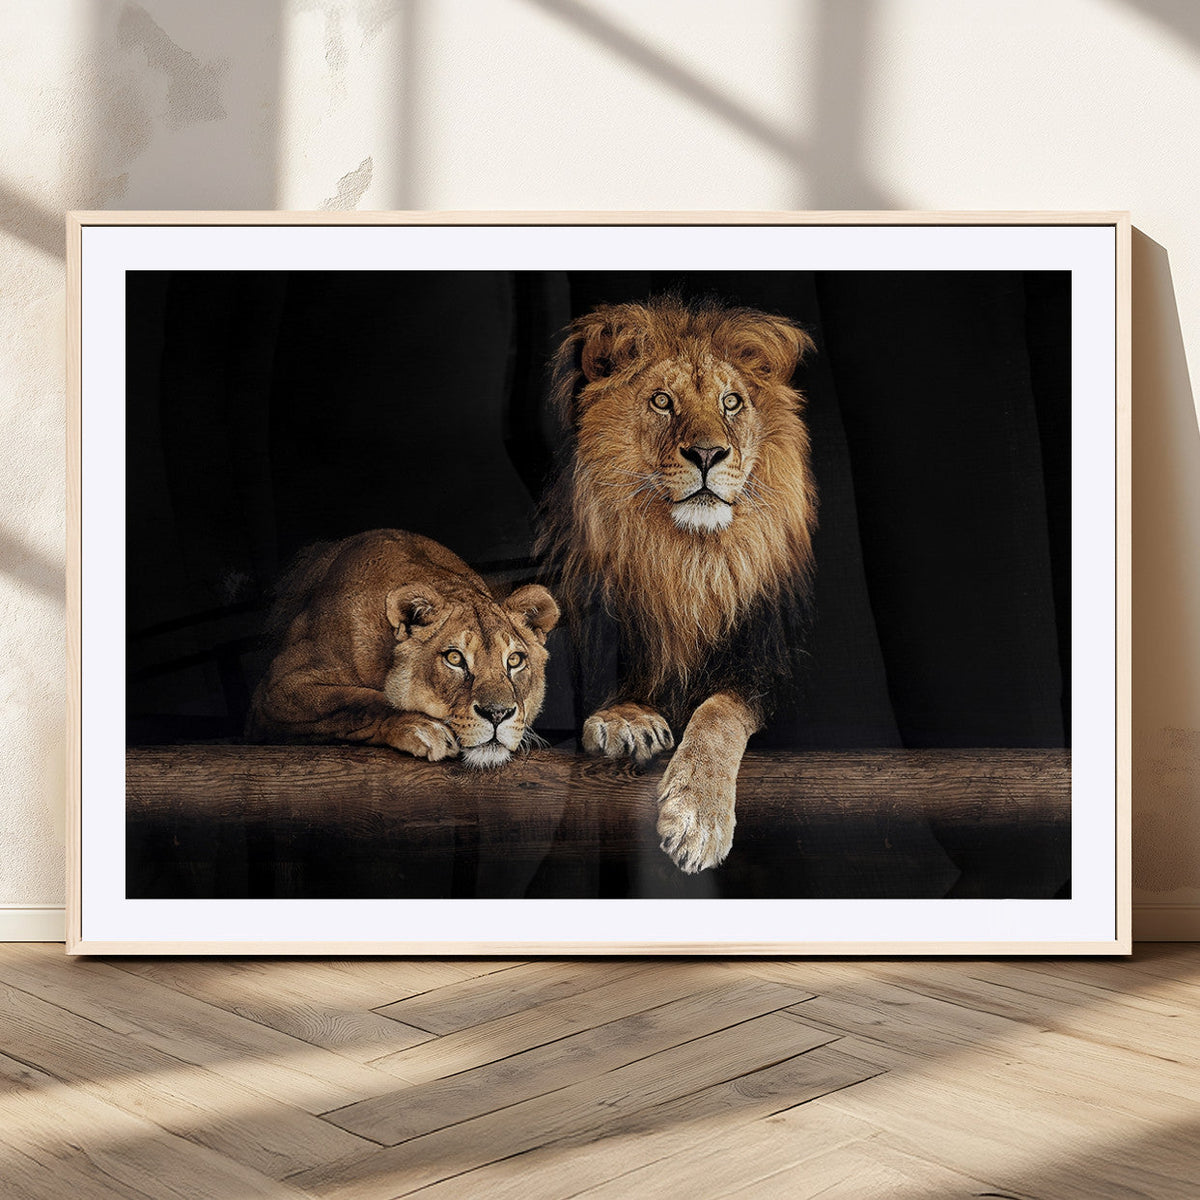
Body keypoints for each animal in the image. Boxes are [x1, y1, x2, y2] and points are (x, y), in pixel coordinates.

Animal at [245, 530, 559, 769]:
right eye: (454, 658)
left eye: (515, 660)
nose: (497, 714)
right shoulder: (275, 690)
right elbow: (357, 701)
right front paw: (424, 728)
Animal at [536, 295, 817, 872]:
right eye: (662, 401)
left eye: (732, 402)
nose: (708, 454)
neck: (688, 563)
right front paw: (628, 720)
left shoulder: (765, 667)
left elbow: (720, 712)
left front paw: (698, 815)